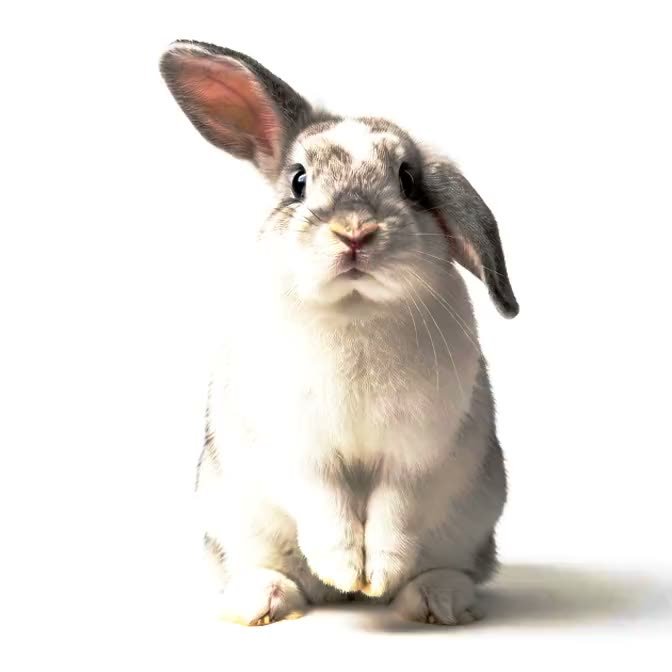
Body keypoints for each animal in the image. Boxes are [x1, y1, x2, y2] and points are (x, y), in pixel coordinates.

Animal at [160, 39, 519, 627]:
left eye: (408, 182)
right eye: (298, 181)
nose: (354, 231)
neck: (355, 309)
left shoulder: (416, 454)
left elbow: (395, 512)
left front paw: (377, 576)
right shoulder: (297, 449)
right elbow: (325, 504)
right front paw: (346, 569)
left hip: (469, 525)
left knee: (454, 566)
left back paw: (432, 599)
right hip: (233, 520)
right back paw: (265, 601)